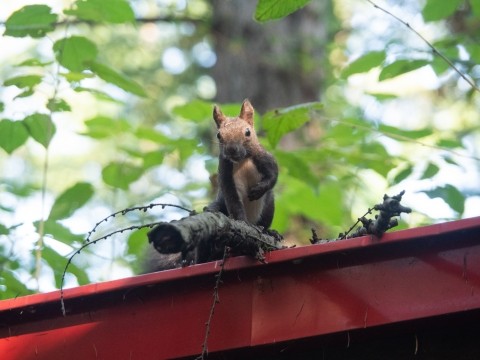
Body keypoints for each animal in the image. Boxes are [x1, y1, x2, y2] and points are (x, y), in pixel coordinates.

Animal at [205, 98, 278, 228]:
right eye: (218, 135)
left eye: (248, 132)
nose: (231, 149)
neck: (243, 160)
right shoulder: (225, 173)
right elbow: (233, 200)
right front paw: (241, 220)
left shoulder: (263, 157)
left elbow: (273, 175)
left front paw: (258, 190)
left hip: (269, 207)